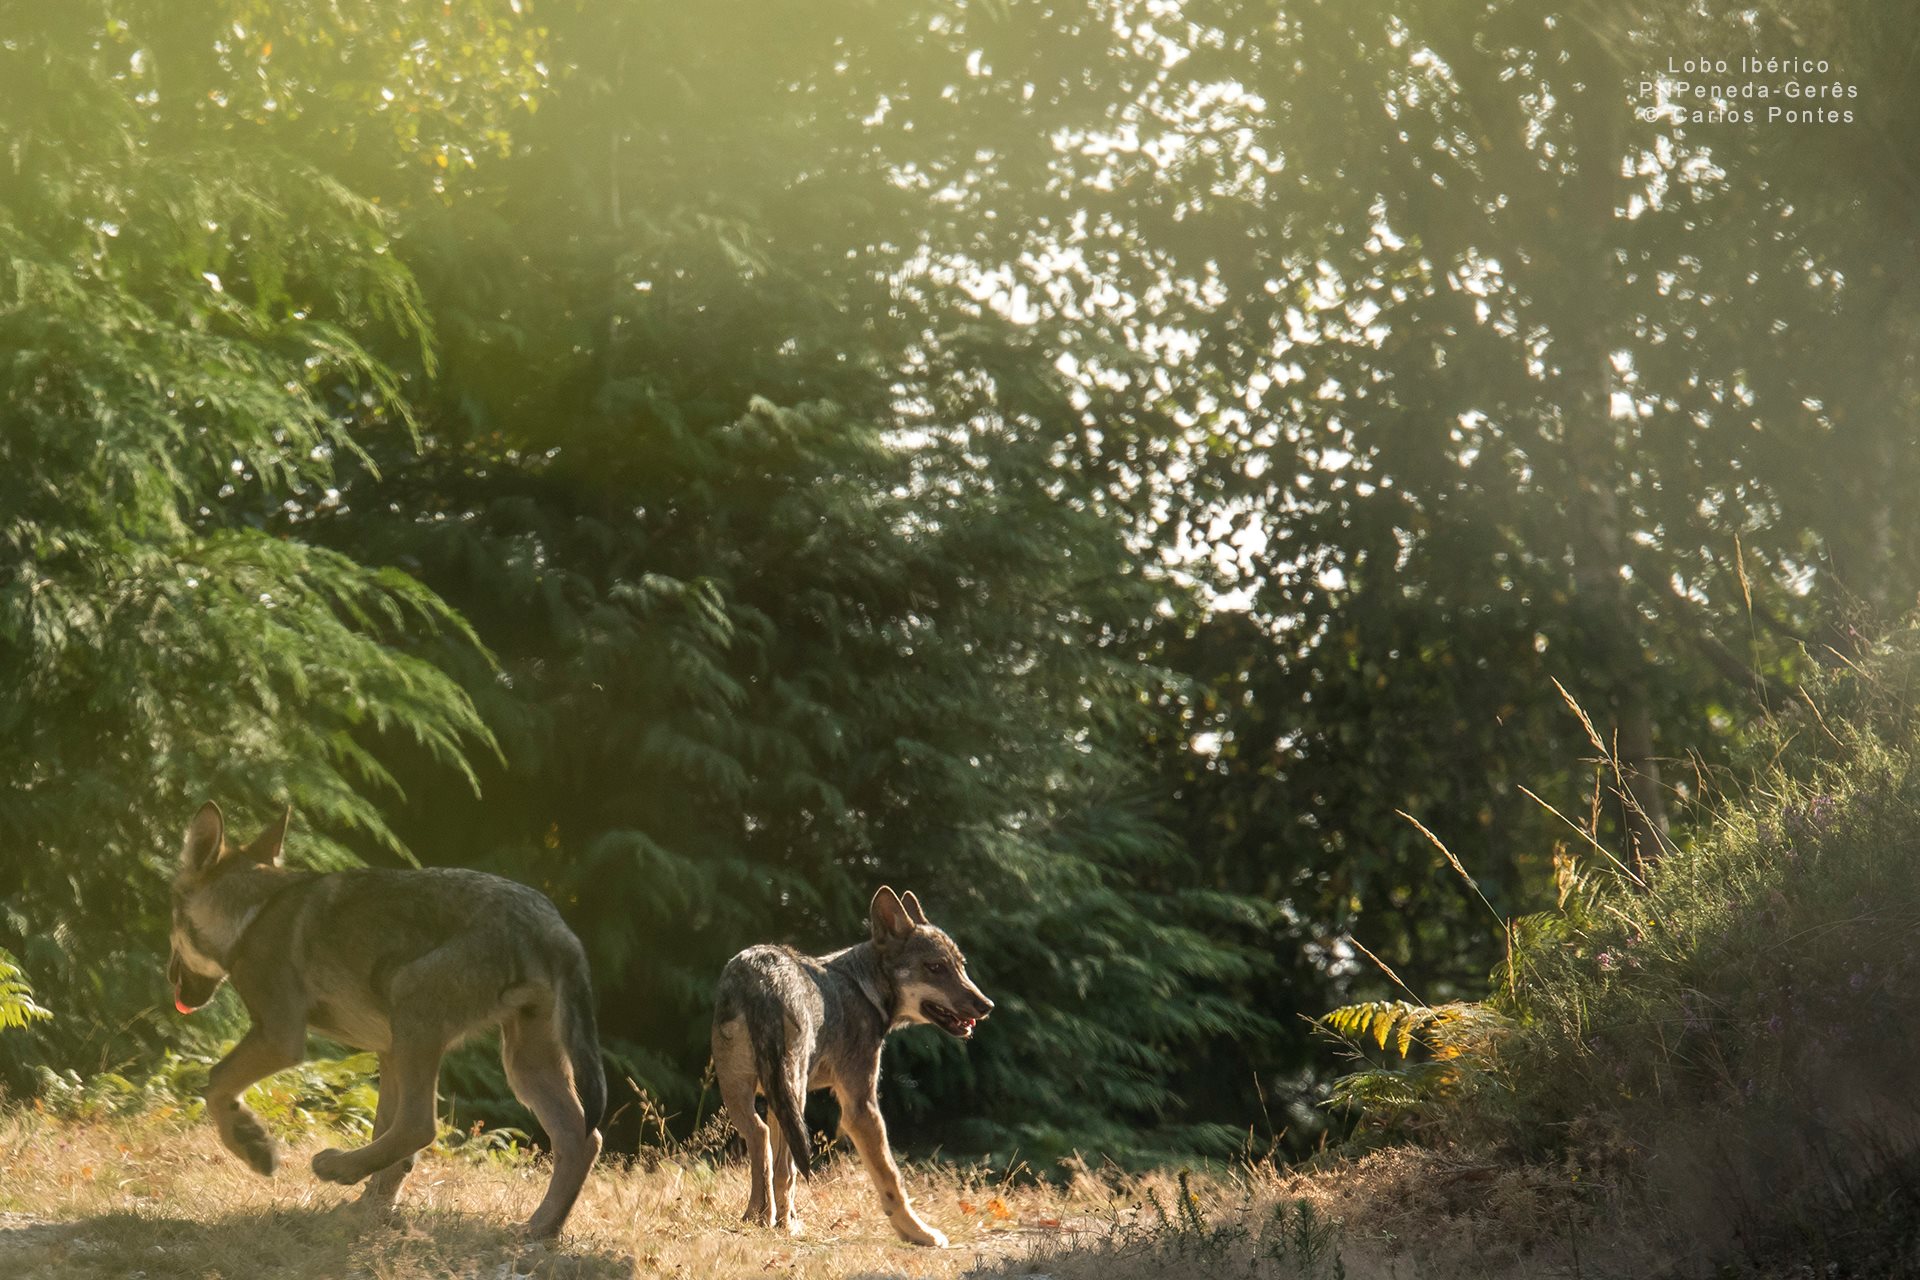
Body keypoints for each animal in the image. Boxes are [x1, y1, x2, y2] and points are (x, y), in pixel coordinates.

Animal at [172, 802, 610, 1243]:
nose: (173, 982)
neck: (254, 911)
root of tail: (553, 926)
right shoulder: (386, 1051)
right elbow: (387, 1142)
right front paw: (371, 1211)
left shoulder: (279, 1036)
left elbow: (216, 1084)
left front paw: (252, 1146)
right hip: (521, 1064)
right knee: (581, 1138)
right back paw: (538, 1230)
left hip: (415, 1007)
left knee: (421, 1125)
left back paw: (337, 1166)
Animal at [714, 886, 998, 1243]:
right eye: (935, 967)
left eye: (961, 966)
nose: (987, 1005)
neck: (864, 988)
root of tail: (762, 978)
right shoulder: (861, 1107)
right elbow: (892, 1179)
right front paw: (919, 1233)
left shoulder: (778, 1100)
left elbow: (783, 1176)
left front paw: (783, 1218)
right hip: (791, 1091)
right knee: (774, 1153)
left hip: (750, 1092)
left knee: (760, 1138)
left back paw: (758, 1216)